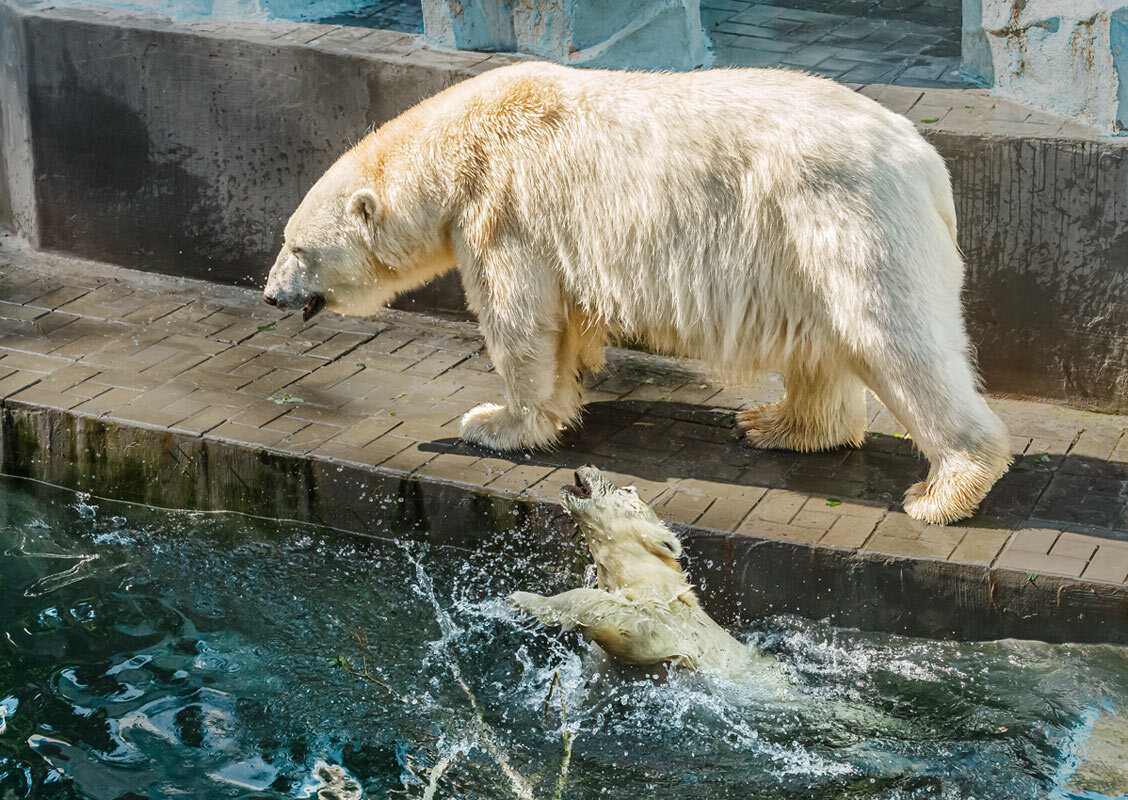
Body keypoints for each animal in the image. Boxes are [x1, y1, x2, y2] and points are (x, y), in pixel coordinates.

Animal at [266, 62, 1015, 523]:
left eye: (298, 248)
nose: (272, 295)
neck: (460, 145)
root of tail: (927, 162)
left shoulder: (504, 212)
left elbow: (519, 323)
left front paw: (494, 423)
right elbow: (564, 325)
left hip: (844, 217)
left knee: (890, 336)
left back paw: (943, 489)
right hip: (805, 244)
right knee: (824, 343)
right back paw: (776, 424)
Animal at [507, 462, 780, 681]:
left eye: (628, 490)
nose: (590, 463)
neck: (650, 580)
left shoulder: (672, 626)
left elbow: (630, 626)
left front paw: (526, 599)